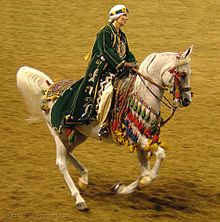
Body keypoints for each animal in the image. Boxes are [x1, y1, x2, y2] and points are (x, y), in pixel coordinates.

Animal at [16, 45, 192, 210]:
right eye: (182, 74)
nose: (186, 100)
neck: (142, 96)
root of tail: (49, 89)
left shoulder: (141, 141)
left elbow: (145, 173)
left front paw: (122, 188)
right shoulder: (136, 136)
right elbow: (160, 155)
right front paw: (137, 183)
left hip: (77, 135)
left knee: (67, 153)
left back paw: (84, 178)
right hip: (60, 134)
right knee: (61, 162)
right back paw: (79, 199)